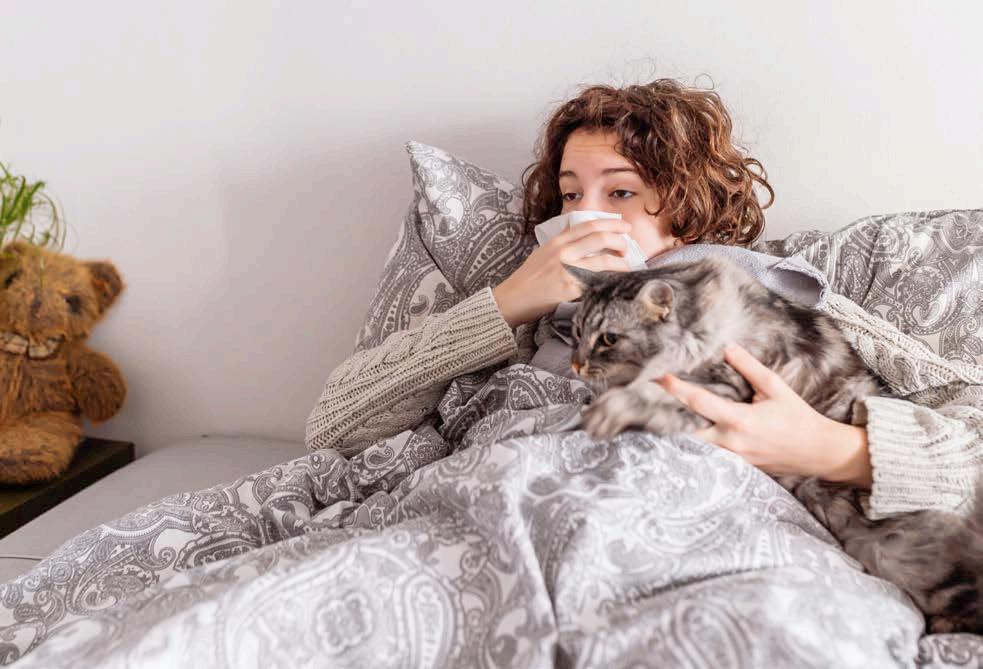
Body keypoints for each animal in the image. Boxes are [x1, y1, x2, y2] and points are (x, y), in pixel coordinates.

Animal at [563, 256, 983, 634]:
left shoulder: (726, 389)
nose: (576, 365)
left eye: (609, 339)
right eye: (578, 331)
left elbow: (649, 397)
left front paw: (606, 412)